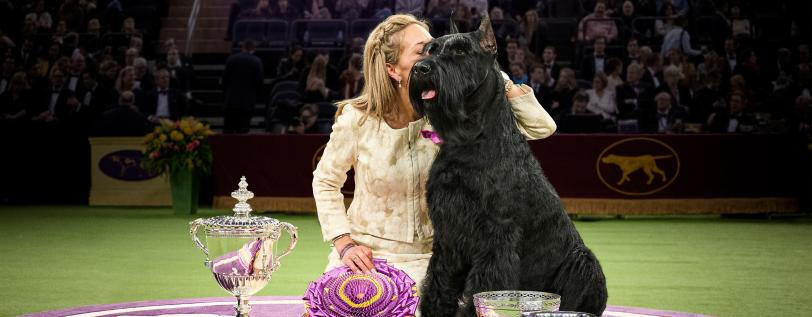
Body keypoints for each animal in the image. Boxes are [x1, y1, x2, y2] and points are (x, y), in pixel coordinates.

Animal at [410, 13, 604, 314]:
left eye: (460, 51)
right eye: (430, 49)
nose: (420, 69)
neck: (469, 138)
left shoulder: (496, 235)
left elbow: (486, 283)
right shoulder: (448, 235)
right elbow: (439, 281)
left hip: (584, 261)